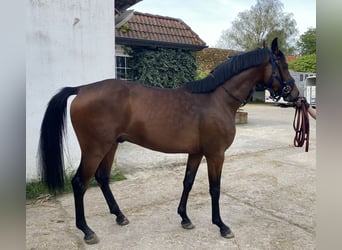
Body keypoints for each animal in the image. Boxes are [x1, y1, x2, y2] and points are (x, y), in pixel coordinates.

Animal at [38, 37, 300, 244]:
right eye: (284, 65)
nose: (295, 94)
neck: (216, 99)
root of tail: (81, 89)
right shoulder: (215, 154)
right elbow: (214, 188)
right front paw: (221, 226)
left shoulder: (196, 152)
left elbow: (188, 182)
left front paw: (184, 218)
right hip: (94, 149)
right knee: (80, 184)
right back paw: (87, 231)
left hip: (110, 146)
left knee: (102, 178)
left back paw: (120, 216)